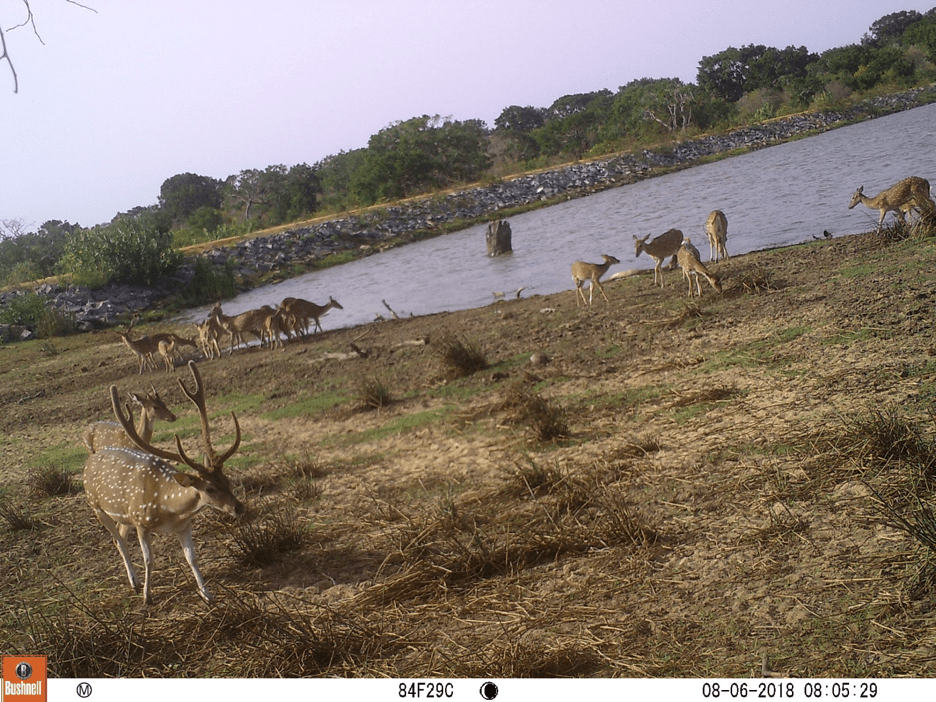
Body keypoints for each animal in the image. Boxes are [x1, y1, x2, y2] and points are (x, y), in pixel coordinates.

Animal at [82, 361, 245, 604]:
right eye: (210, 488)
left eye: (227, 480)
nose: (238, 507)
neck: (169, 509)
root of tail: (89, 461)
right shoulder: (140, 520)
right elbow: (149, 559)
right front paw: (147, 596)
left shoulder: (184, 525)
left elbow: (192, 558)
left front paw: (207, 594)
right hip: (97, 506)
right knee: (117, 540)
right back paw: (134, 583)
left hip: (122, 515)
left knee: (120, 535)